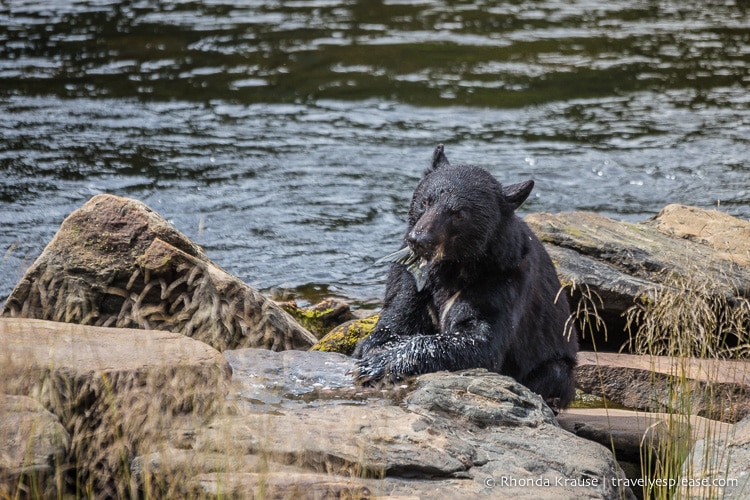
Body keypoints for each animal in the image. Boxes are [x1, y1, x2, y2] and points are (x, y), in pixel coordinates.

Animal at [354, 143, 580, 408]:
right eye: (425, 202)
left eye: (459, 214)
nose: (419, 240)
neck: (451, 267)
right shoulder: (410, 275)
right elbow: (398, 315)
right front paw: (372, 347)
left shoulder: (502, 280)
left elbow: (479, 339)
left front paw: (380, 364)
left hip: (556, 363)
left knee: (554, 374)